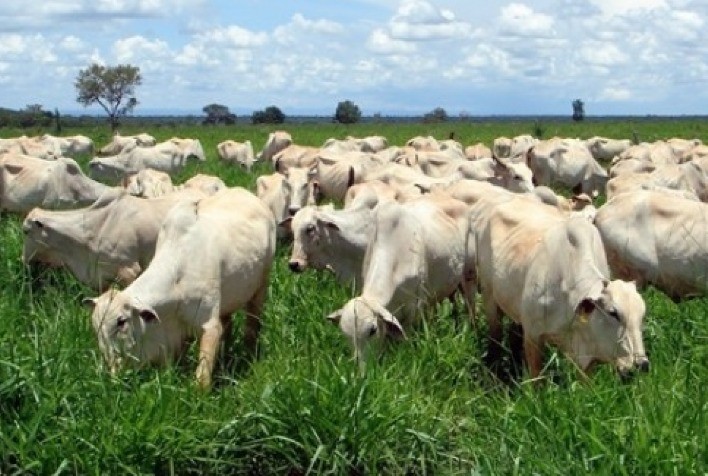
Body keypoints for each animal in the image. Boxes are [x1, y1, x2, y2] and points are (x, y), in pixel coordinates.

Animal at [84, 187, 276, 389]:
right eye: (96, 327)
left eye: (121, 321)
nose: (113, 374)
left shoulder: (208, 325)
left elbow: (202, 374)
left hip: (261, 287)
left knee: (252, 324)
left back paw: (249, 355)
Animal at [325, 195, 476, 365]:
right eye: (345, 334)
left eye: (372, 330)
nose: (361, 367)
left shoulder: (414, 308)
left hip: (469, 275)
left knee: (470, 307)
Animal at [473, 196, 648, 381]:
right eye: (613, 313)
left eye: (642, 316)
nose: (641, 365)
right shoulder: (533, 337)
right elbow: (537, 379)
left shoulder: (588, 358)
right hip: (489, 296)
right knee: (496, 336)